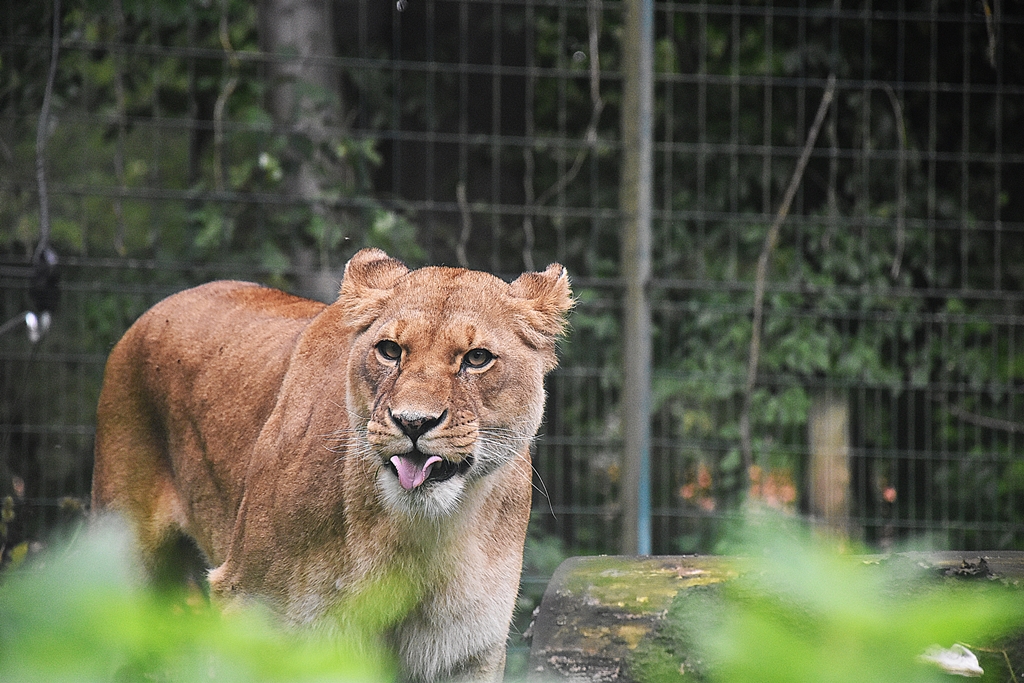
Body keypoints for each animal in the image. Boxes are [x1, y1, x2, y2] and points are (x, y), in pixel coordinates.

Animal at [91, 248, 573, 682]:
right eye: (389, 350)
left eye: (476, 358)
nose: (413, 422)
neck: (416, 536)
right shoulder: (250, 607)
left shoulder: (466, 649)